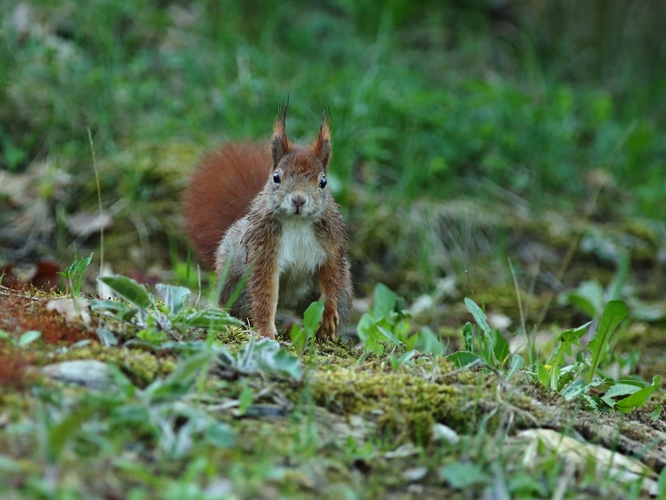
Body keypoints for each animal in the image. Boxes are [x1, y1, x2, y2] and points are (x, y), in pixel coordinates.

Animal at [179, 104, 350, 342]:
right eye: (276, 177)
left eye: (323, 181)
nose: (298, 200)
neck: (297, 221)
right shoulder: (264, 249)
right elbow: (265, 294)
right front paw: (266, 332)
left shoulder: (332, 247)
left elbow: (331, 280)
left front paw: (328, 316)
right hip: (234, 286)